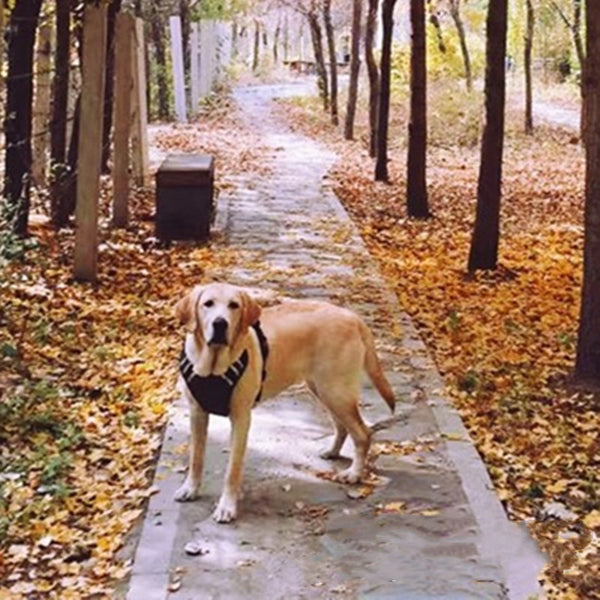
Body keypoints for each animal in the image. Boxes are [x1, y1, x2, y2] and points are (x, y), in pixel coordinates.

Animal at [173, 282, 394, 520]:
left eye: (234, 305)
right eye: (208, 304)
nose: (220, 324)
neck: (213, 366)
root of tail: (353, 317)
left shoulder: (241, 418)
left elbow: (232, 470)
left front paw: (226, 507)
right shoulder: (197, 413)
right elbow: (196, 458)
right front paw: (190, 489)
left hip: (336, 391)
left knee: (362, 433)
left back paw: (354, 474)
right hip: (323, 389)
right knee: (342, 426)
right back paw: (332, 452)